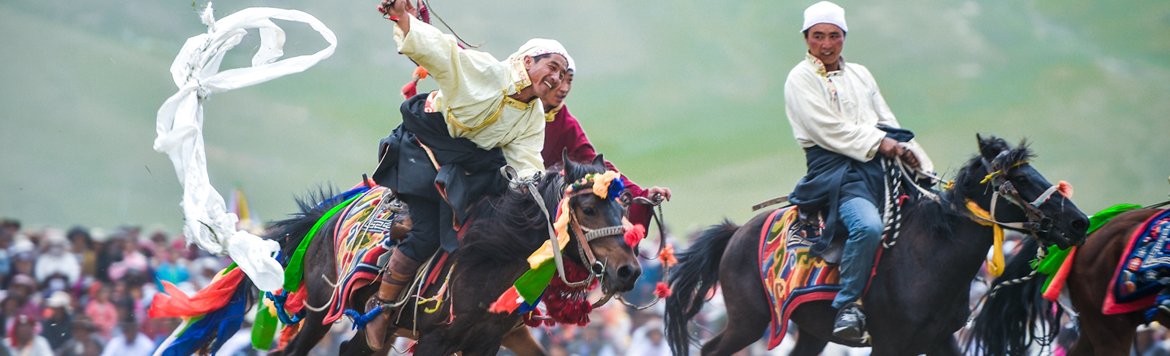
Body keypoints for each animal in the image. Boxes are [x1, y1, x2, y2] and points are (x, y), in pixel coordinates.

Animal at [262, 154, 645, 353]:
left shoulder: (486, 342)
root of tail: (329, 213)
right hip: (319, 313)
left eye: (623, 206)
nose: (629, 271)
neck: (488, 264)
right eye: (588, 209)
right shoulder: (434, 341)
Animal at [664, 134, 1090, 353]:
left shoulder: (939, 340)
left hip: (810, 330)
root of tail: (736, 233)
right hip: (748, 321)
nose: (1079, 222)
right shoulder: (889, 343)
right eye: (1020, 179)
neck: (929, 259)